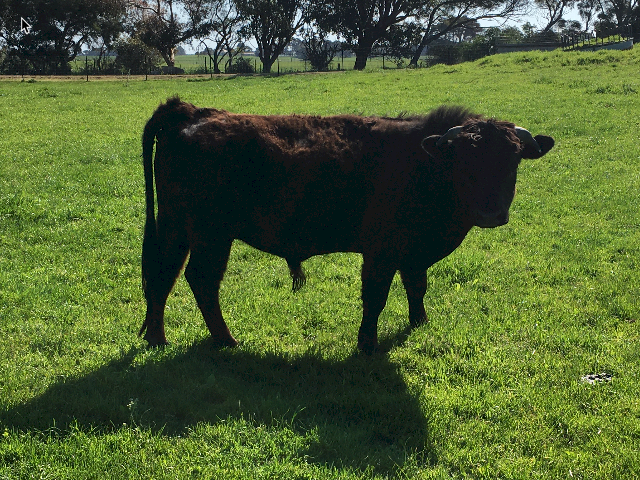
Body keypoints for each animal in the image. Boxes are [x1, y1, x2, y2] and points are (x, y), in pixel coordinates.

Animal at [139, 97, 554, 353]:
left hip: (177, 229)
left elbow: (417, 287)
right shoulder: (381, 253)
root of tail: (193, 112)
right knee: (201, 280)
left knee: (164, 275)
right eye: (464, 161)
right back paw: (226, 340)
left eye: (513, 158)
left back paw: (158, 339)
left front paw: (419, 322)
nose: (491, 213)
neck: (425, 164)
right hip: (210, 235)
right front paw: (367, 345)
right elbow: (376, 298)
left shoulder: (412, 252)